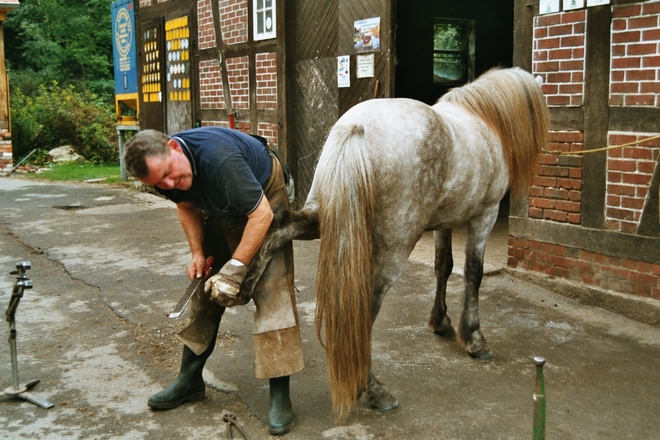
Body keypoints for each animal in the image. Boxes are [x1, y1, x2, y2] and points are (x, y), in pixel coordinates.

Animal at [240, 68, 548, 420]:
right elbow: (473, 273)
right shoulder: (485, 215)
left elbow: (444, 267)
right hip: (394, 248)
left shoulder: (444, 224)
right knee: (366, 306)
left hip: (321, 215)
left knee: (280, 226)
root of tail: (356, 127)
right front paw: (474, 339)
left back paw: (240, 285)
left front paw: (441, 322)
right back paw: (374, 390)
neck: (484, 120)